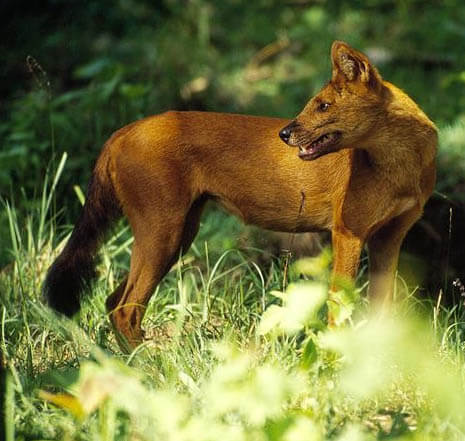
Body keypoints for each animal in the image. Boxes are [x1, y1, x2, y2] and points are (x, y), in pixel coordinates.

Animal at [43, 42, 436, 350]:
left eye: (323, 106)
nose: (284, 133)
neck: (401, 166)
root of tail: (123, 130)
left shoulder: (389, 237)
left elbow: (383, 308)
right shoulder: (348, 233)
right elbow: (339, 305)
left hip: (178, 235)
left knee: (113, 302)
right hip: (163, 235)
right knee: (126, 307)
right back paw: (152, 367)